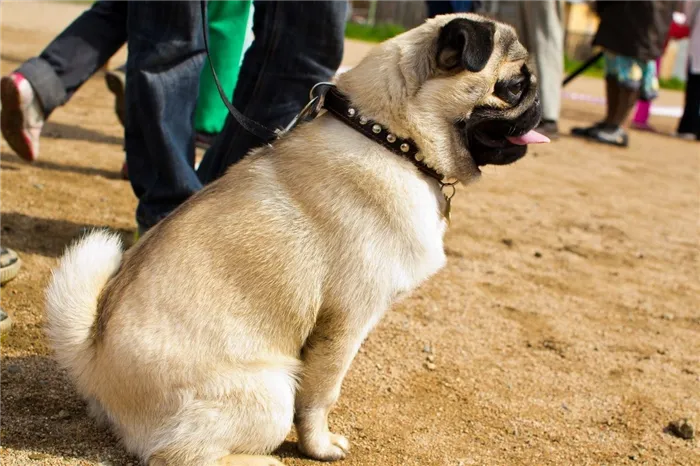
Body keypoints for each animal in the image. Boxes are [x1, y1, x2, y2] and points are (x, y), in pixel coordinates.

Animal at [45, 12, 548, 466]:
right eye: (512, 87)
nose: (540, 101)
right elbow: (322, 395)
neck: (391, 138)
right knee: (177, 455)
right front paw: (319, 447)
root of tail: (93, 360)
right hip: (270, 391)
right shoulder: (346, 321)